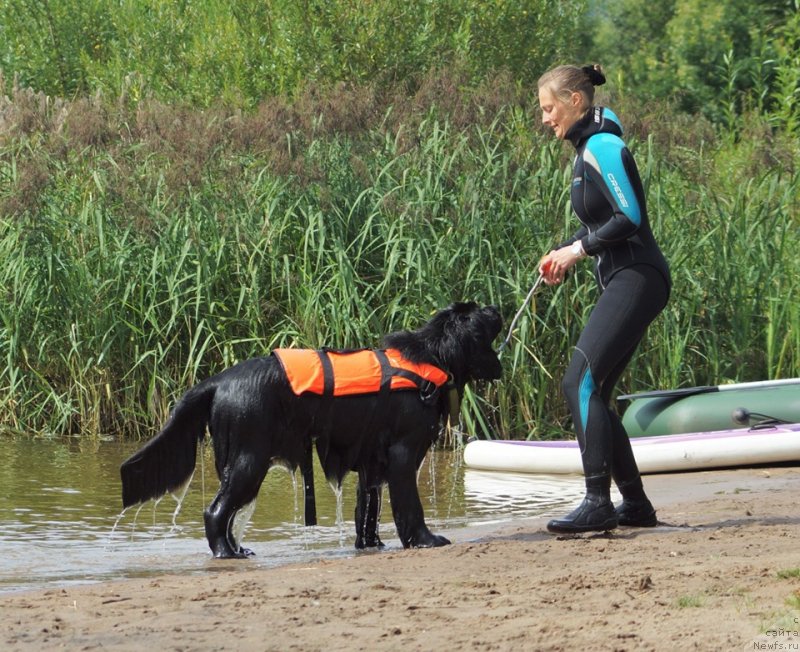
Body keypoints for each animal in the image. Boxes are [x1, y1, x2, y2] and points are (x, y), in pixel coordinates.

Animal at [119, 304, 500, 556]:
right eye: (482, 312)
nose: (498, 307)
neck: (429, 359)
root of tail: (217, 382)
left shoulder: (371, 462)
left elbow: (367, 511)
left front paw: (372, 545)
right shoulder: (403, 455)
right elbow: (409, 506)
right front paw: (425, 540)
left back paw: (238, 550)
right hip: (249, 460)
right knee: (215, 512)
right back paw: (226, 553)